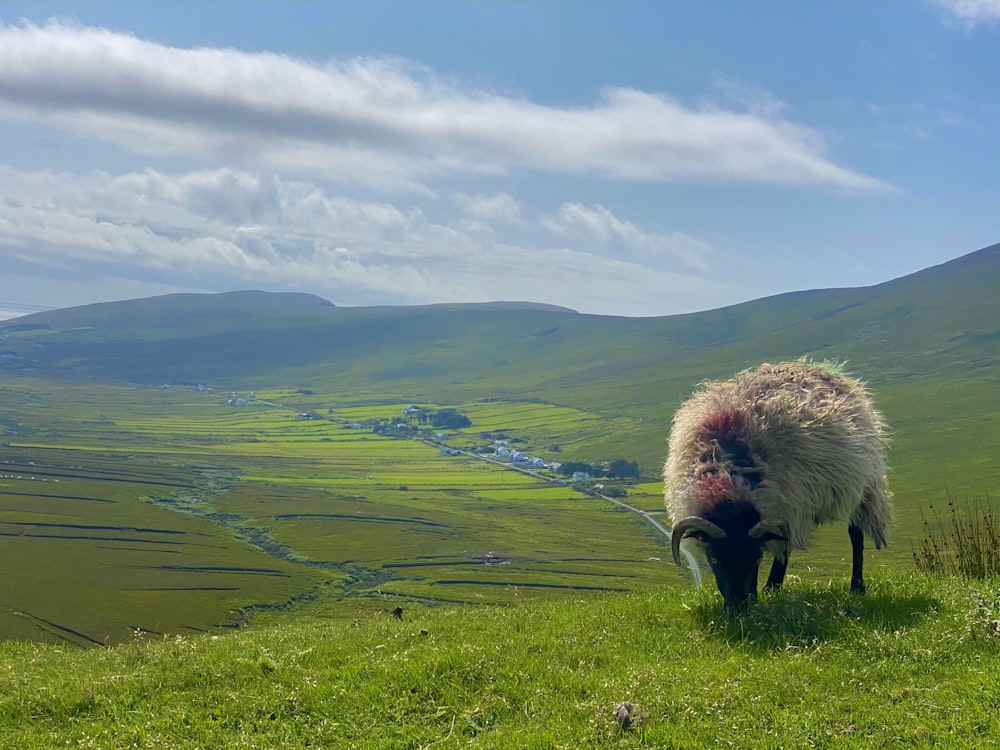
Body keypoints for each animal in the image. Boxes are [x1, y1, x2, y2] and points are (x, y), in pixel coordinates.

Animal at [664, 362, 892, 612]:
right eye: (713, 559)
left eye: (756, 559)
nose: (738, 608)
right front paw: (757, 596)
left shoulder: (783, 506)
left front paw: (758, 593)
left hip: (858, 488)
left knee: (855, 536)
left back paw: (856, 586)